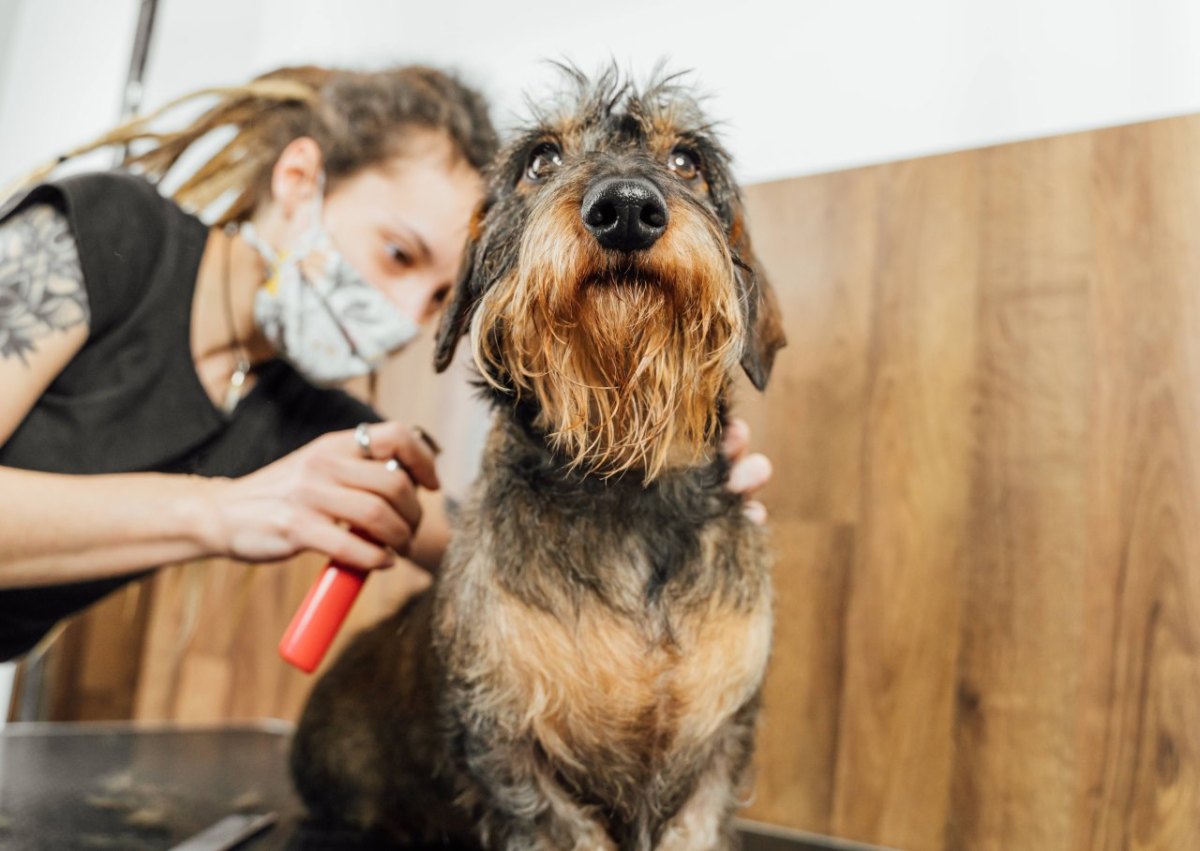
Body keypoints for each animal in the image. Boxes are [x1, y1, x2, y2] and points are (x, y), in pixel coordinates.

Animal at [294, 68, 787, 849]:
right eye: (540, 158)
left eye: (687, 161)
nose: (626, 208)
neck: (622, 480)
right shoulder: (513, 754)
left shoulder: (715, 755)